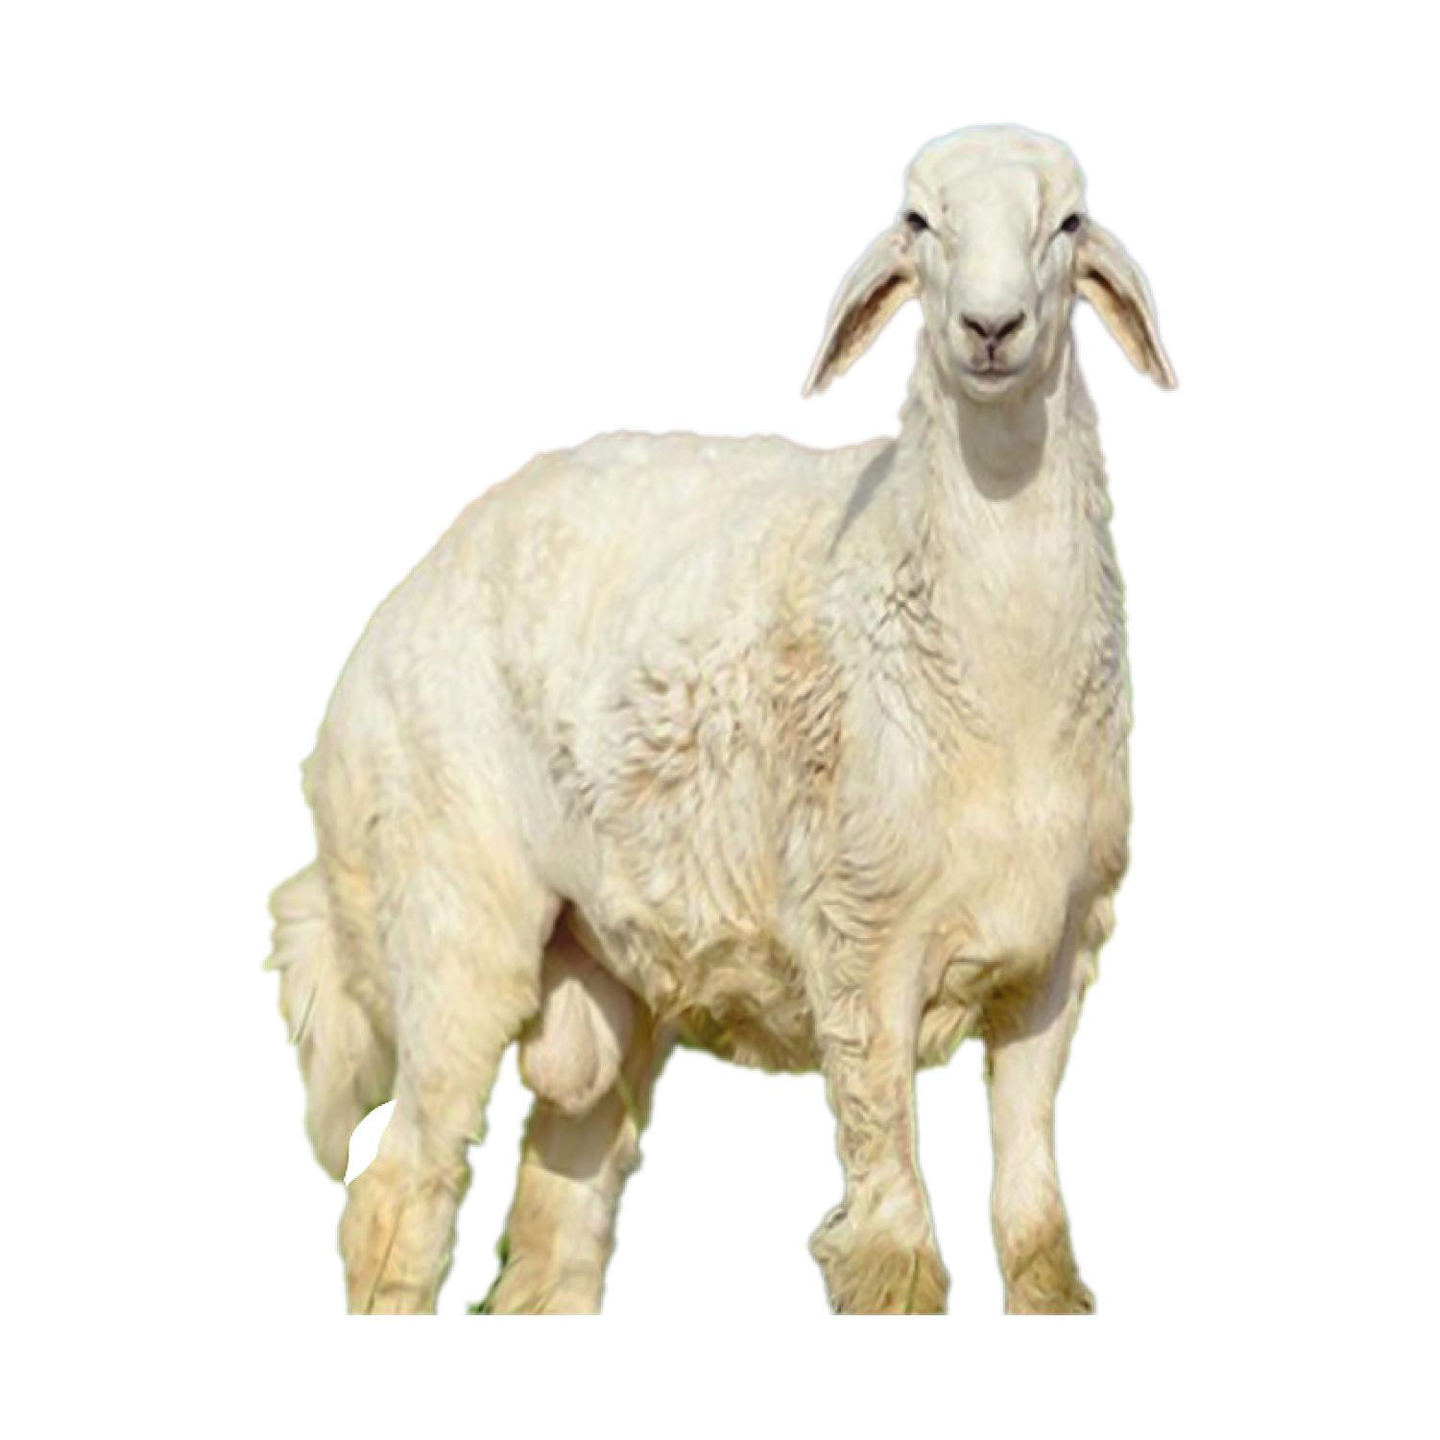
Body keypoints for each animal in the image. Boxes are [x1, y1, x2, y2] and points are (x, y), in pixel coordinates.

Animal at [267, 123, 1174, 1315]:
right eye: (917, 222)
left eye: (1069, 221)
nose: (990, 330)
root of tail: (386, 615)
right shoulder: (859, 944)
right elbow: (895, 1255)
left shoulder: (1055, 960)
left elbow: (1035, 1238)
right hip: (448, 898)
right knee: (397, 1196)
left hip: (600, 970)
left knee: (555, 1221)